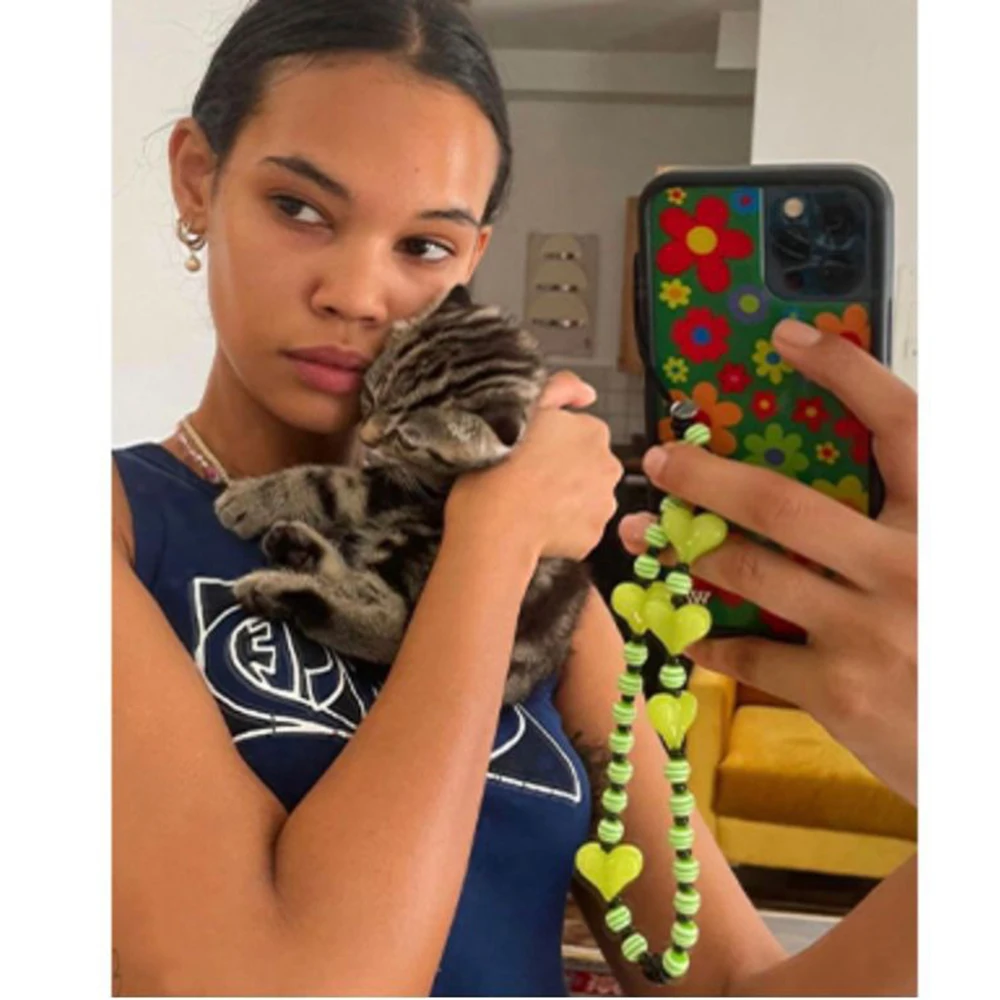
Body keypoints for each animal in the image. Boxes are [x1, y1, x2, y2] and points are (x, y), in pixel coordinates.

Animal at [214, 285, 593, 705]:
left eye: (407, 438)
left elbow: (330, 484)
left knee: (394, 625)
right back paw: (298, 549)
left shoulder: (406, 492)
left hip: (418, 534)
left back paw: (279, 588)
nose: (366, 438)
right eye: (372, 393)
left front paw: (251, 500)